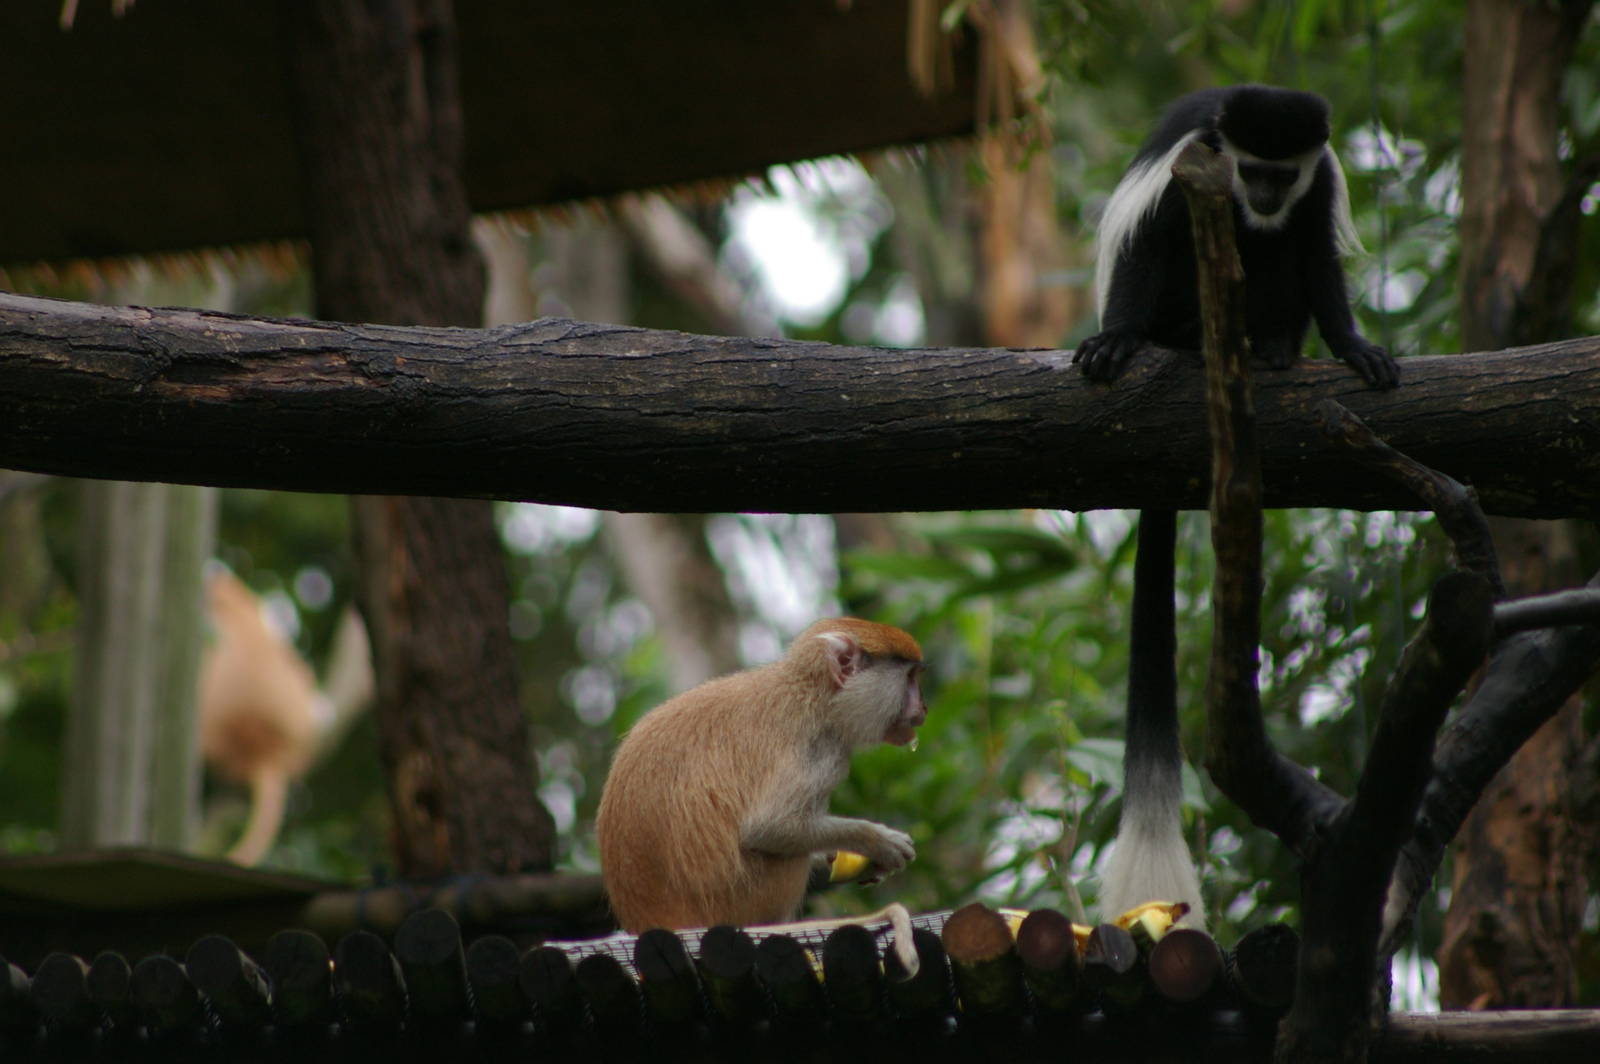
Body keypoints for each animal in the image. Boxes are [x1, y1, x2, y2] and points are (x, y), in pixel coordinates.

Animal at [596, 617, 927, 933]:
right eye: (910, 678)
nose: (923, 708)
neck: (814, 693)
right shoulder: (819, 751)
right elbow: (768, 828)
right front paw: (879, 841)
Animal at [1081, 87, 1399, 925]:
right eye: (1250, 168)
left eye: (1278, 174)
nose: (1258, 198)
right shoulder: (1184, 173)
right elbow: (1146, 244)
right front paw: (1115, 341)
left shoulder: (1316, 183)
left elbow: (1317, 256)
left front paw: (1353, 346)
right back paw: (1194, 342)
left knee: (1279, 259)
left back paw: (1274, 349)